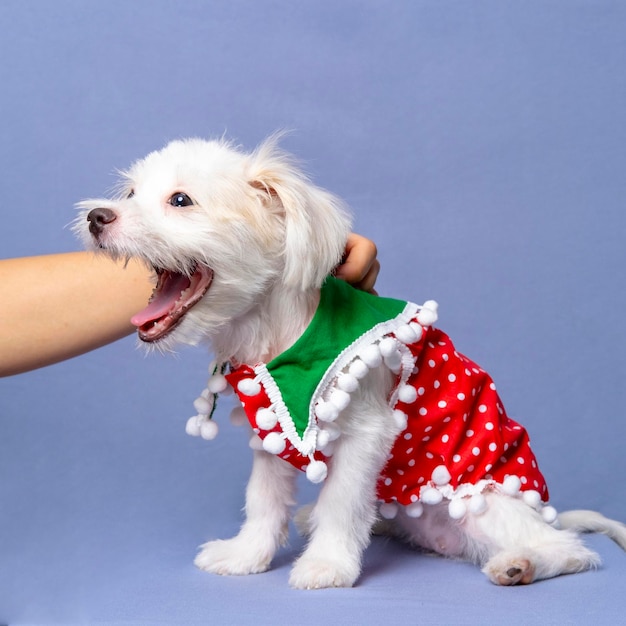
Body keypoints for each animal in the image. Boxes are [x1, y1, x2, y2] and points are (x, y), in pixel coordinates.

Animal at [74, 135, 624, 584]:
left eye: (180, 200)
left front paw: (327, 565)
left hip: (485, 501)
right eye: (130, 194)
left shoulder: (366, 434)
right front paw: (246, 556)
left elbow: (341, 503)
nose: (96, 216)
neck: (274, 335)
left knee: (570, 549)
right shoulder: (270, 429)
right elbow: (263, 502)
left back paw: (521, 564)